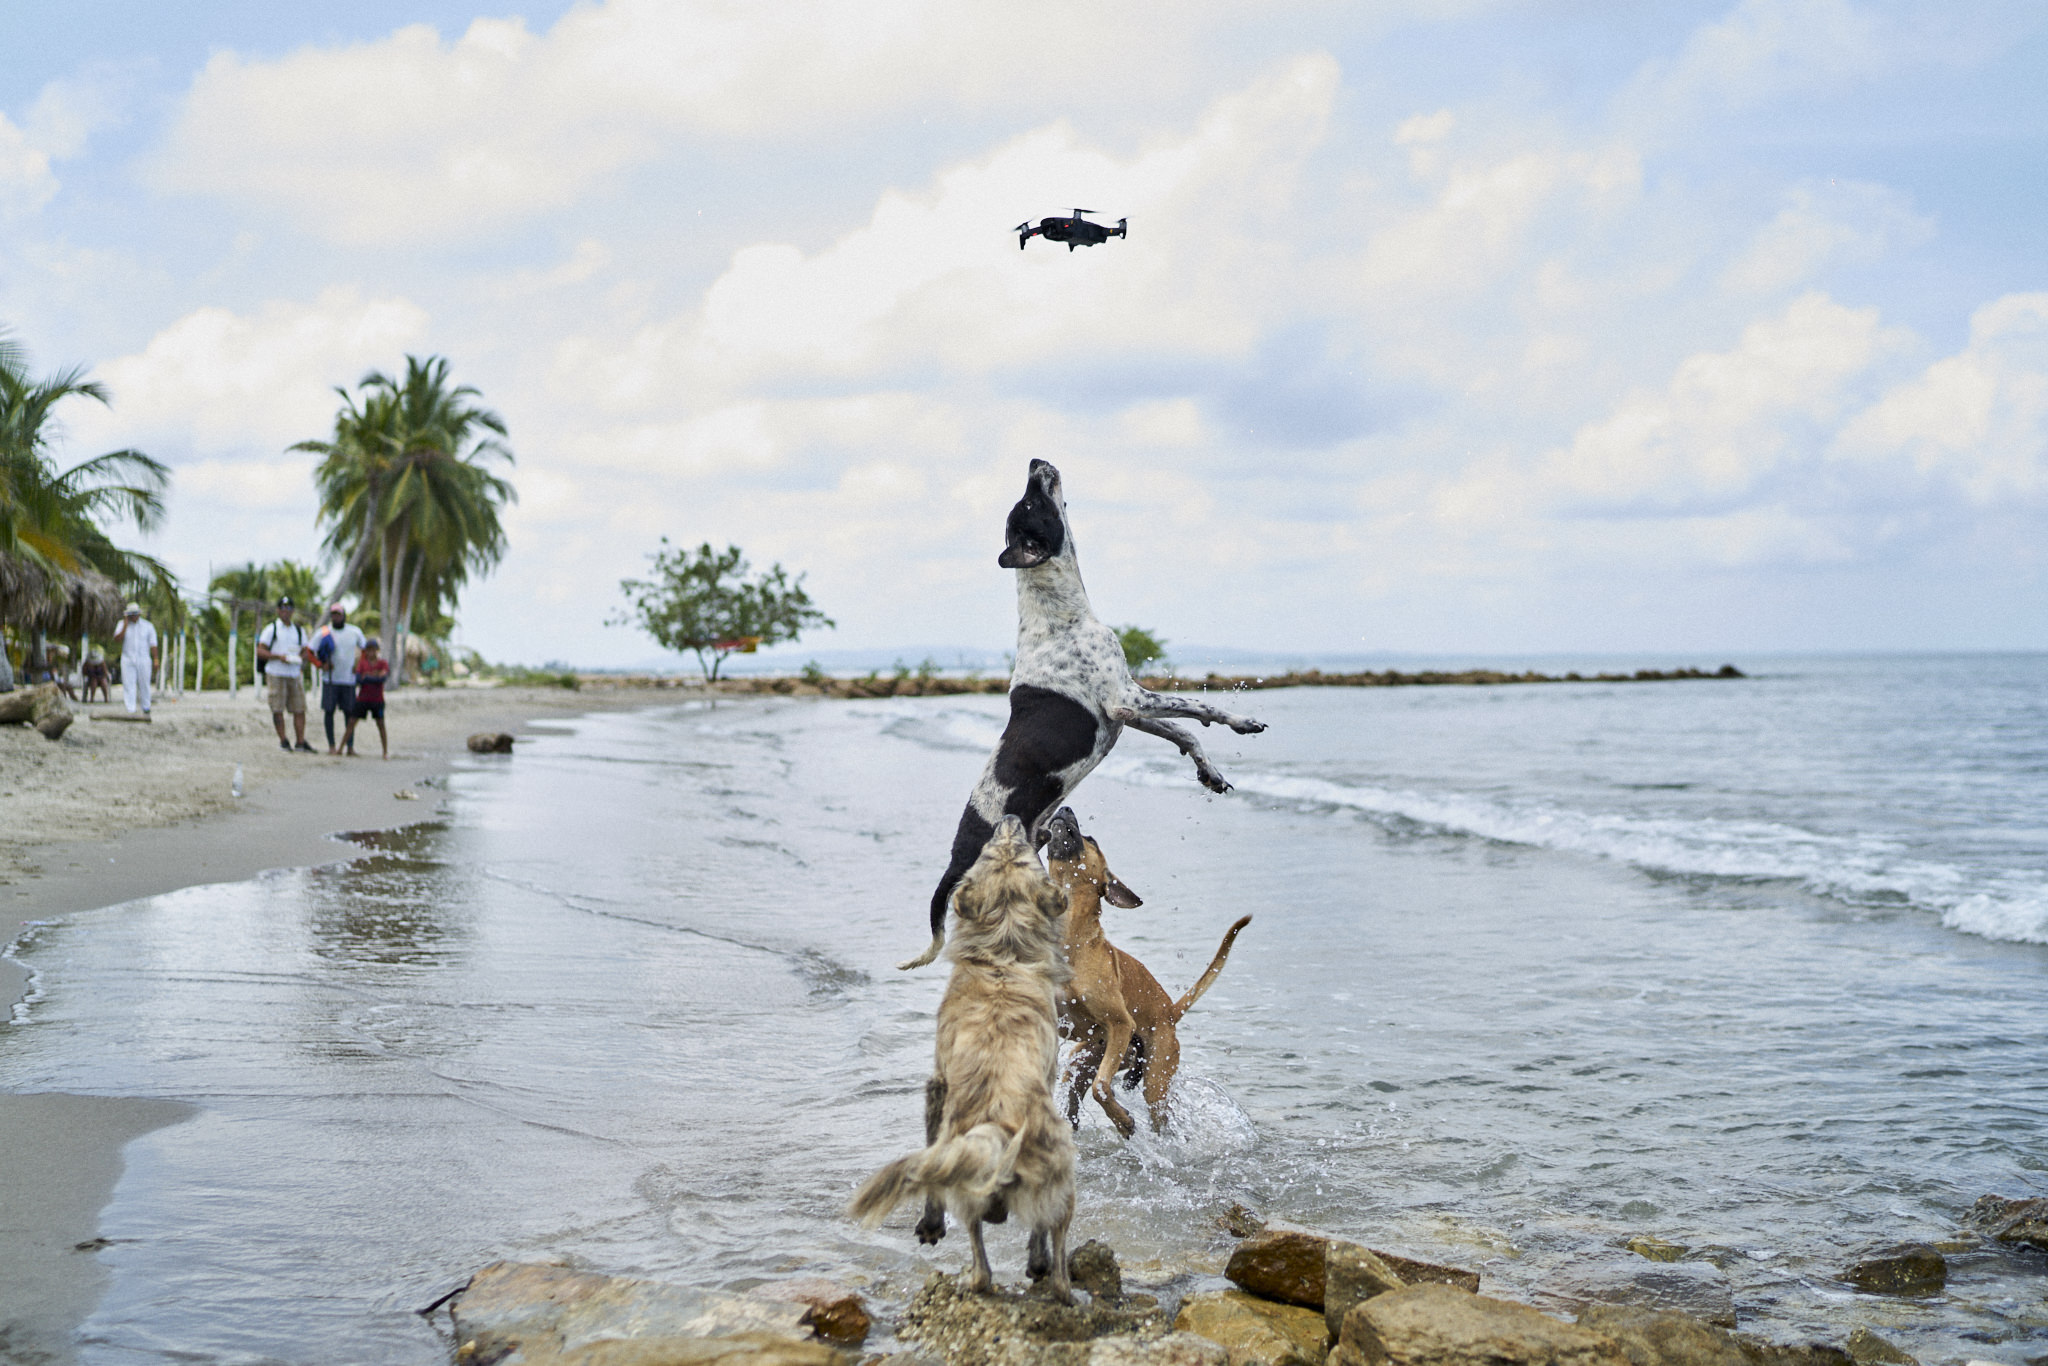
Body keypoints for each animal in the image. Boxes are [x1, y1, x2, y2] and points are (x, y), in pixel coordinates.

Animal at [847, 819, 1081, 1302]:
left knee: (986, 1267)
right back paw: (1043, 1269)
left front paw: (930, 1224)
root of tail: (999, 1127)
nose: (1010, 820)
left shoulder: (937, 1086)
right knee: (1051, 1259)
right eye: (1003, 849)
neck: (1004, 953)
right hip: (1061, 1177)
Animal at [905, 464, 1269, 978]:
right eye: (1031, 504)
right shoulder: (1125, 699)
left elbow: (1183, 732)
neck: (1059, 614)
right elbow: (1199, 708)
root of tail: (956, 861)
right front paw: (1242, 720)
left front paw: (1210, 773)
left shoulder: (1126, 714)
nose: (1035, 460)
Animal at [1048, 806, 1253, 1138]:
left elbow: (1102, 1087)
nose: (1065, 808)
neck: (1070, 939)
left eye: (1091, 838)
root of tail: (1170, 1011)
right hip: (1086, 1057)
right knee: (1075, 1094)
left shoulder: (1120, 1024)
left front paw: (1123, 1121)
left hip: (1154, 1077)